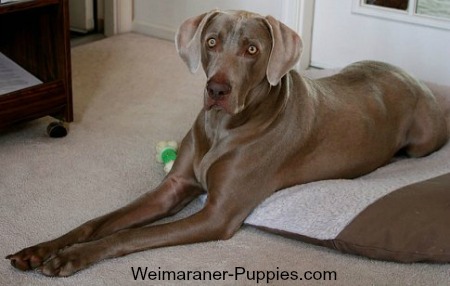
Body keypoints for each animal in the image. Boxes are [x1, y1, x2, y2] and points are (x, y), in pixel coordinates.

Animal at [5, 10, 448, 276]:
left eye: (253, 49)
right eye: (212, 42)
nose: (217, 89)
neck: (223, 127)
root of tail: (409, 74)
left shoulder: (216, 215)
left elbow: (127, 236)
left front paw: (70, 257)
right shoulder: (171, 189)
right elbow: (96, 222)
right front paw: (42, 249)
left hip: (423, 140)